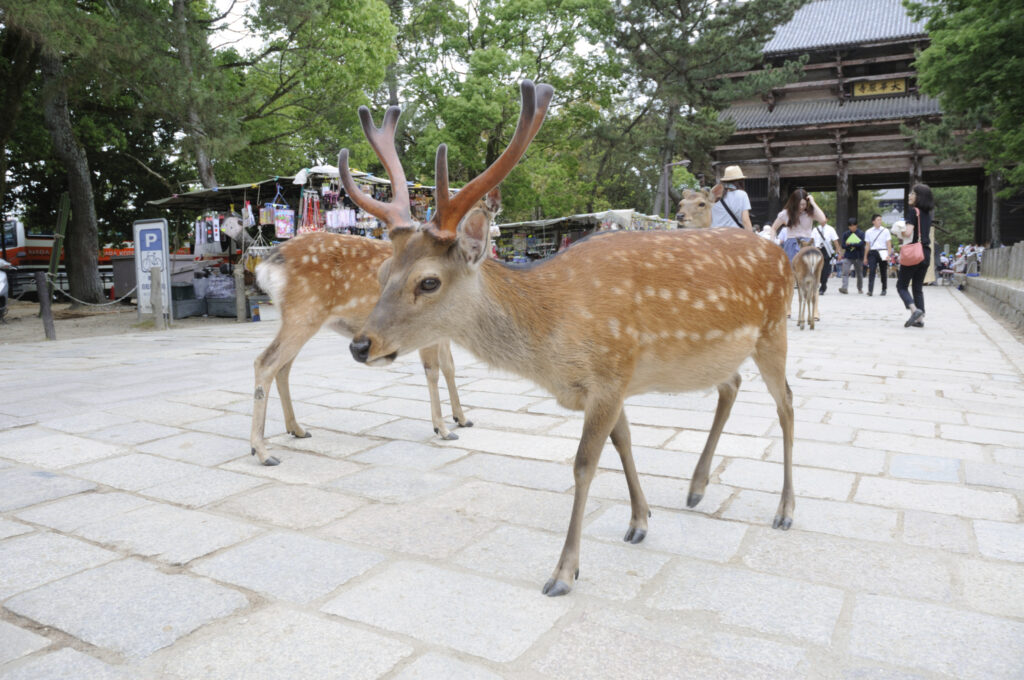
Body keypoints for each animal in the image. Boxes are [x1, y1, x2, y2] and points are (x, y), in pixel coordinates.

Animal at [339, 82, 794, 598]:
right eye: (381, 273)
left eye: (428, 281)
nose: (360, 345)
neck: (552, 340)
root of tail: (782, 254)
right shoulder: (608, 383)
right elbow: (625, 442)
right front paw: (640, 520)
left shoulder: (611, 371)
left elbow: (583, 463)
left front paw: (563, 572)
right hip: (725, 353)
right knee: (731, 385)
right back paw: (696, 488)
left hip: (774, 330)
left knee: (786, 404)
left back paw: (784, 511)